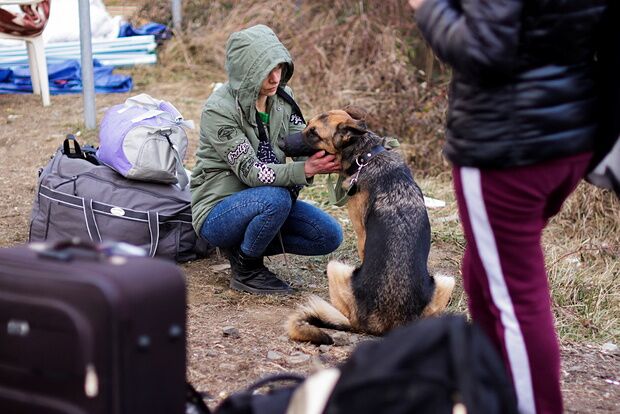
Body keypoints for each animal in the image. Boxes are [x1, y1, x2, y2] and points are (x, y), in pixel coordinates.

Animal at [278, 107, 452, 346]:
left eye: (314, 133)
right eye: (307, 125)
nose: (280, 142)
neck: (366, 155)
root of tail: (384, 325)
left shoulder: (361, 235)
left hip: (335, 267)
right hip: (447, 281)